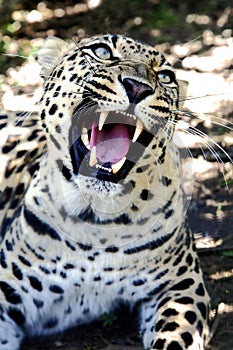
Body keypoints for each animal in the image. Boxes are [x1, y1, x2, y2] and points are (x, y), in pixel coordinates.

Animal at [0, 33, 211, 350]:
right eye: (102, 51)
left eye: (165, 76)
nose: (138, 87)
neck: (96, 220)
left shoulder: (180, 285)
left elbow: (176, 337)